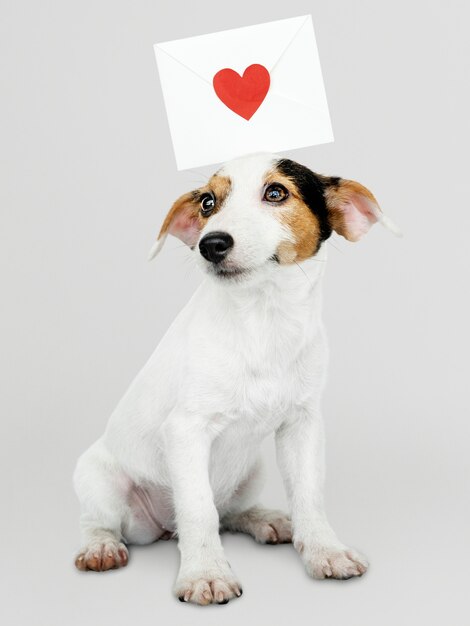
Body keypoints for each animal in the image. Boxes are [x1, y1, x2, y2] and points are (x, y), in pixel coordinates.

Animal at [72, 149, 396, 604]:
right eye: (208, 203)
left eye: (276, 193)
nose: (210, 244)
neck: (263, 320)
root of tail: (162, 528)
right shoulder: (186, 430)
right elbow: (198, 509)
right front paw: (205, 572)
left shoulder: (303, 425)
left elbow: (308, 496)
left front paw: (324, 550)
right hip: (98, 479)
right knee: (103, 521)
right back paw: (101, 546)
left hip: (251, 471)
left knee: (230, 513)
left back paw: (265, 520)